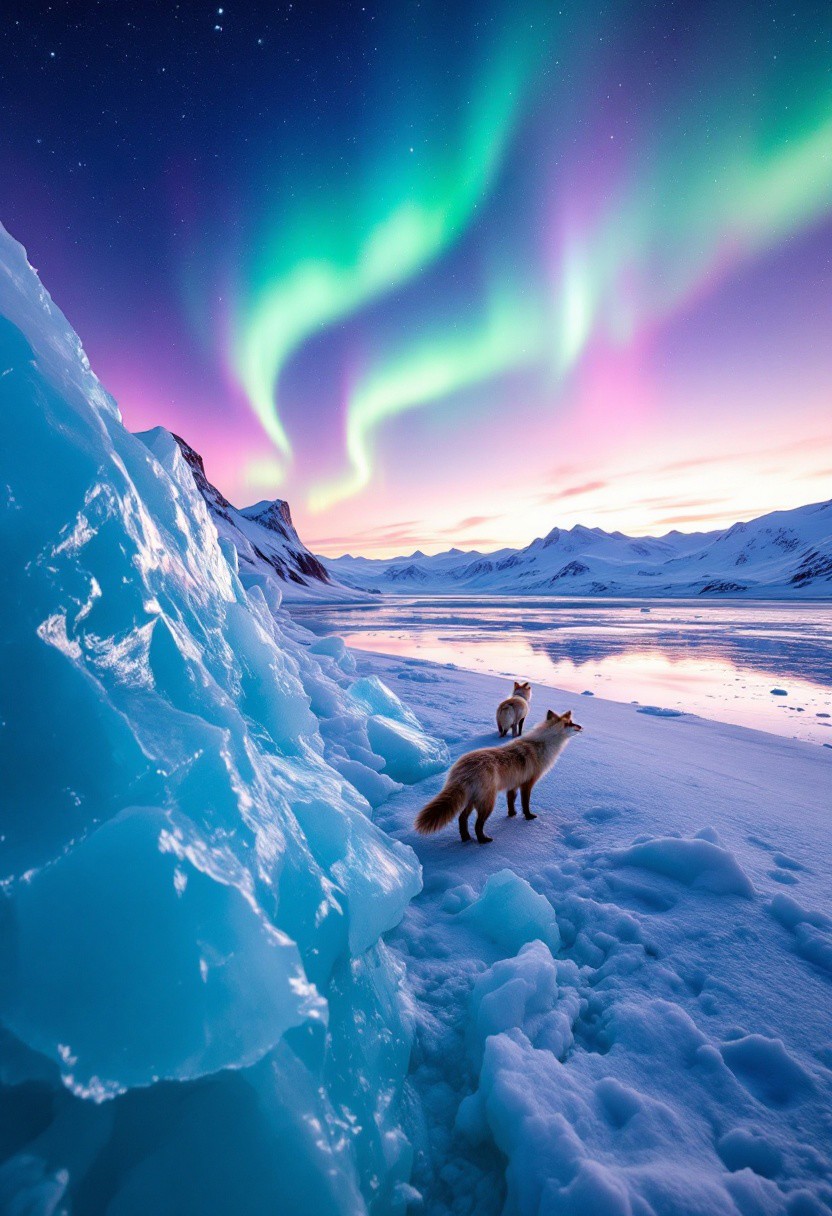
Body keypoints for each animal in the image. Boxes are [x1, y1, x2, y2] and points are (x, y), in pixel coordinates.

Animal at [415, 710, 583, 844]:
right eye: (570, 723)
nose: (581, 727)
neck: (542, 745)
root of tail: (463, 768)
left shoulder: (513, 784)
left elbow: (511, 802)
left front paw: (512, 815)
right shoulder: (527, 783)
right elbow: (525, 804)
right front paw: (528, 817)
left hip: (472, 800)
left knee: (462, 818)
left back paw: (466, 838)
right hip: (488, 803)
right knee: (477, 824)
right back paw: (482, 841)